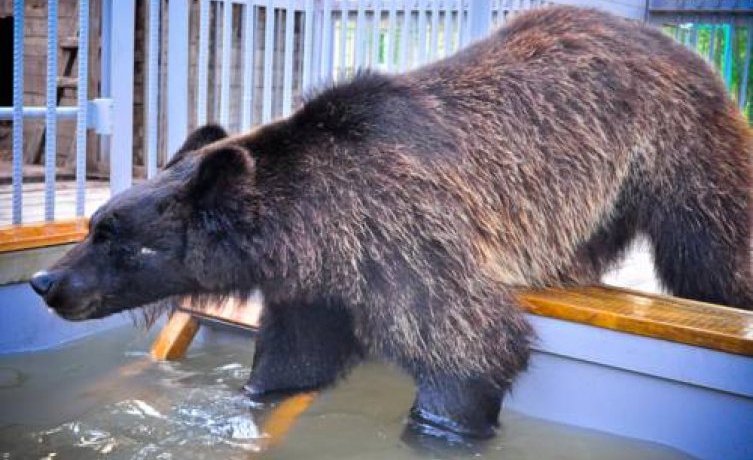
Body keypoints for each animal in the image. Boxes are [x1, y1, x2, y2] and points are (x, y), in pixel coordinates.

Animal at [30, 6, 752, 438]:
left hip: (670, 144)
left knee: (712, 252)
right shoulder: (319, 283)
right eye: (94, 222)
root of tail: (671, 42)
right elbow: (291, 361)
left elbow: (469, 352)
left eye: (111, 233)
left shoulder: (406, 237)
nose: (44, 281)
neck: (316, 224)